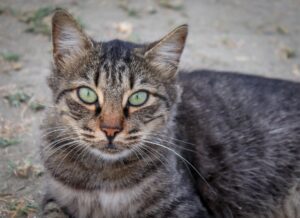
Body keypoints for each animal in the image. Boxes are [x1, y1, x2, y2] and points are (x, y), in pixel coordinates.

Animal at [40, 9, 300, 218]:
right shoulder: (53, 197)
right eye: (87, 94)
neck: (102, 177)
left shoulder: (185, 207)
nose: (110, 130)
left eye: (138, 97)